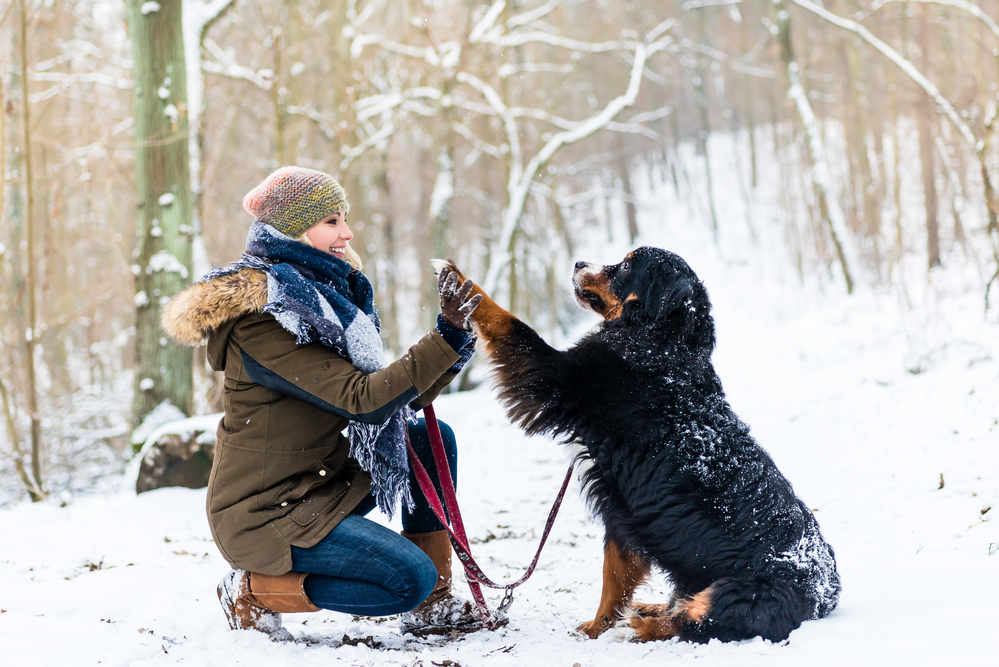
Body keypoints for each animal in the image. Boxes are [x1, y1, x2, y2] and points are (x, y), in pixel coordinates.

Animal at [438, 248, 836, 644]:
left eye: (628, 264)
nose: (579, 263)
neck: (659, 340)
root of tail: (826, 595)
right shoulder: (623, 510)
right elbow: (614, 577)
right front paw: (596, 627)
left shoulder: (557, 376)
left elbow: (508, 322)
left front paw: (457, 281)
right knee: (681, 605)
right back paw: (650, 608)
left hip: (739, 591)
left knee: (693, 621)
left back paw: (640, 624)